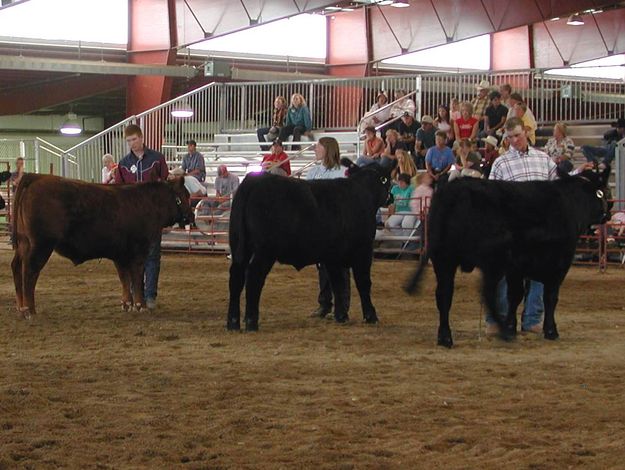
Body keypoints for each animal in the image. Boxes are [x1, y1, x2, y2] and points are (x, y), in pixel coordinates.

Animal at [229, 158, 392, 330]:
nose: (391, 198)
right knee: (254, 277)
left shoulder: (333, 256)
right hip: (264, 251)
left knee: (236, 276)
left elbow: (337, 283)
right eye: (385, 179)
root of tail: (254, 181)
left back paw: (233, 323)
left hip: (240, 245)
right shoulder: (363, 250)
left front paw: (341, 315)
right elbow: (363, 283)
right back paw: (251, 322)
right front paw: (371, 316)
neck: (362, 192)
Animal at [404, 169, 608, 348]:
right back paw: (501, 332)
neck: (572, 203)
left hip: (444, 258)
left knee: (444, 295)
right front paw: (550, 331)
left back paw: (445, 337)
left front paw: (511, 326)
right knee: (486, 294)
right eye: (604, 190)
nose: (607, 213)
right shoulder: (559, 264)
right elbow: (550, 297)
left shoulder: (516, 268)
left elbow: (515, 295)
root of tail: (454, 189)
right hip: (491, 261)